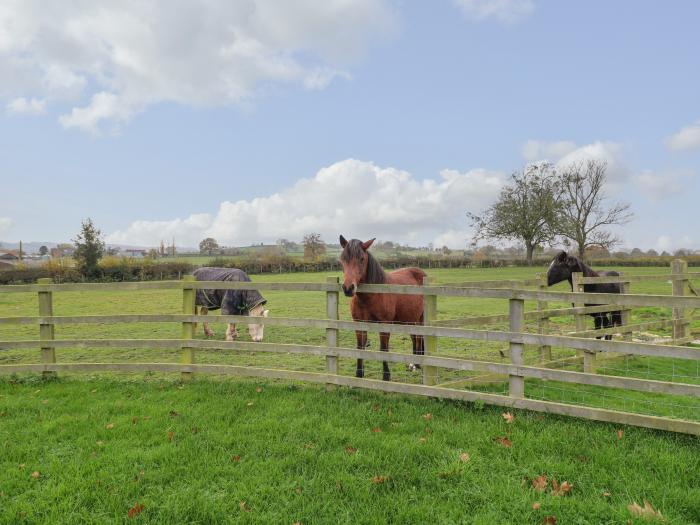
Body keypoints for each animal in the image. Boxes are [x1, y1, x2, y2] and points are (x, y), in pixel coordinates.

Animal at [340, 236, 426, 380]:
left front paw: (386, 376)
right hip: (411, 318)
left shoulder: (384, 324)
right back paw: (414, 364)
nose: (348, 288)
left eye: (362, 259)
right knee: (415, 337)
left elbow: (383, 349)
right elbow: (360, 348)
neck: (371, 296)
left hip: (421, 318)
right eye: (342, 258)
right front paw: (359, 374)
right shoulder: (359, 324)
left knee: (420, 337)